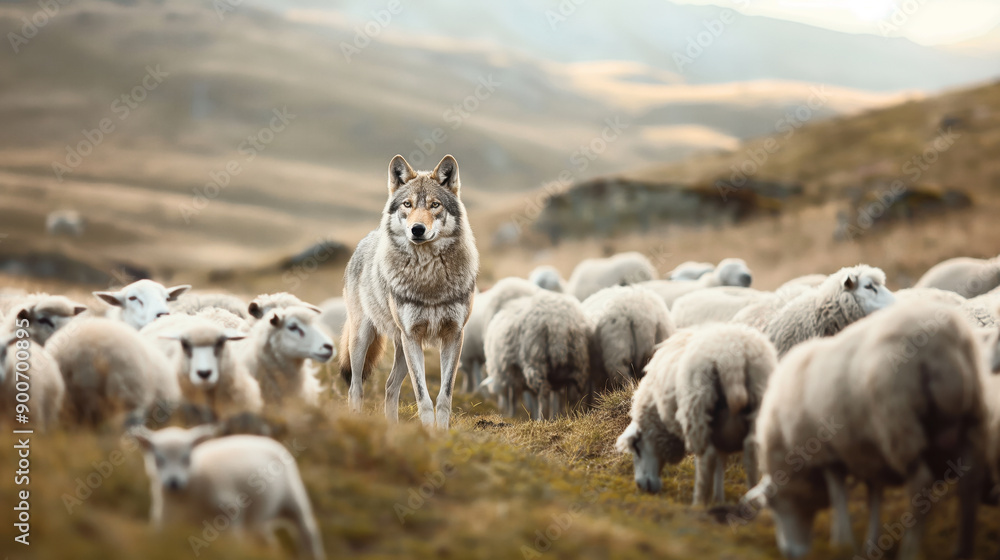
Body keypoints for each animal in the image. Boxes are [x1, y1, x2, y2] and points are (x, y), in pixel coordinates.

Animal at [132, 425, 325, 560]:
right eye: (158, 460)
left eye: (187, 458)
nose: (173, 482)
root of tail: (269, 441)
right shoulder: (166, 519)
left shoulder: (229, 513)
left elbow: (232, 543)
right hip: (257, 518)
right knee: (268, 541)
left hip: (293, 499)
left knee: (307, 531)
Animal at [340, 154, 478, 429]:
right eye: (408, 204)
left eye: (435, 205)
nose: (417, 229)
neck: (429, 279)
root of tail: (367, 238)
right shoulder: (413, 337)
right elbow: (422, 397)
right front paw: (427, 432)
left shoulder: (454, 336)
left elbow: (444, 396)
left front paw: (441, 433)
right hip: (364, 340)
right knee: (355, 387)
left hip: (401, 348)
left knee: (389, 386)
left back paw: (393, 428)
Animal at [482, 290, 590, 419]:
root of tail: (558, 322)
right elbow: (551, 397)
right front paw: (554, 416)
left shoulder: (510, 371)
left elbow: (513, 396)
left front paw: (512, 415)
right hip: (578, 360)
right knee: (580, 391)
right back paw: (579, 414)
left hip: (535, 357)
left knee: (543, 391)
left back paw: (541, 418)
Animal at [746, 302, 984, 559]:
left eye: (773, 503)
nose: (789, 552)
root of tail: (943, 339)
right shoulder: (868, 450)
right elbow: (874, 493)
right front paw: (870, 543)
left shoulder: (825, 454)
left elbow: (838, 494)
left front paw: (841, 542)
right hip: (969, 419)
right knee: (969, 483)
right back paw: (963, 548)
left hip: (898, 423)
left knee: (920, 485)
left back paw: (910, 551)